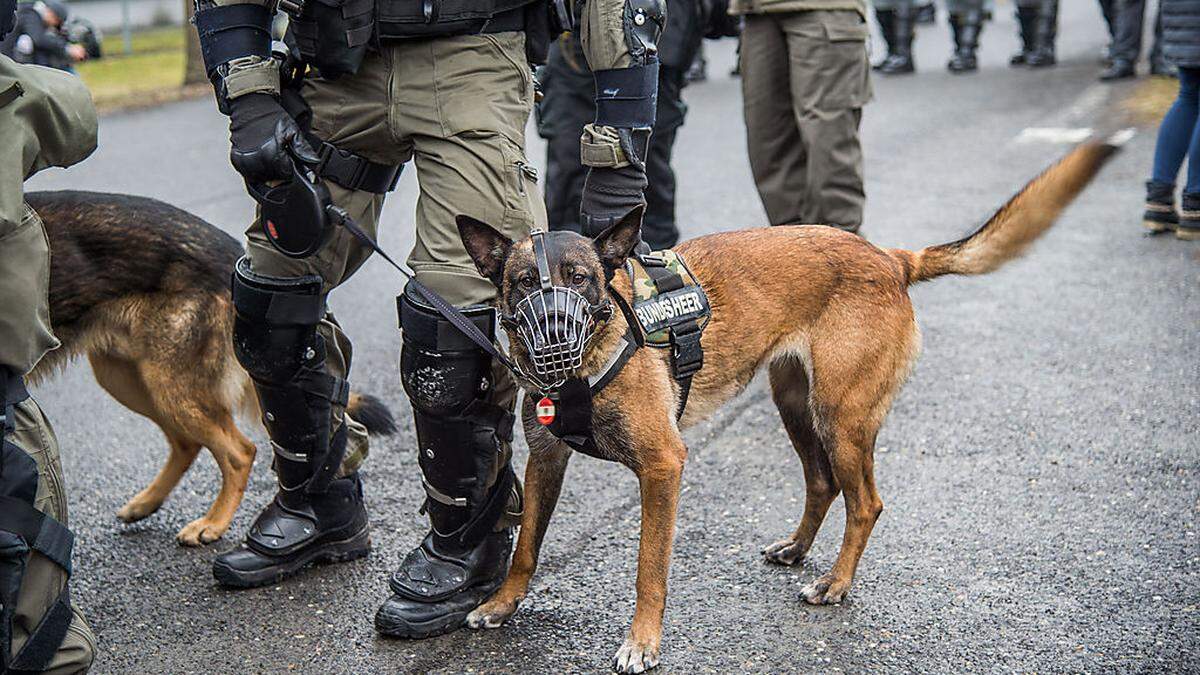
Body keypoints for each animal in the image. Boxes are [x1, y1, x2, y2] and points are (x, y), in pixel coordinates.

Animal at [25, 190, 396, 547]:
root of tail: (236, 257)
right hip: (130, 379)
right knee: (187, 443)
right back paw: (147, 503)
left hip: (167, 383)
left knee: (239, 452)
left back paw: (212, 524)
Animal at [453, 139, 1118, 667]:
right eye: (522, 283)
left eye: (582, 278)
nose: (554, 333)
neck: (584, 364)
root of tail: (890, 258)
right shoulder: (546, 459)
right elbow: (526, 547)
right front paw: (502, 604)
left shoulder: (663, 467)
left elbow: (649, 569)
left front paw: (642, 643)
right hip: (795, 404)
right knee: (823, 484)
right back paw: (798, 549)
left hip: (841, 415)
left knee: (865, 502)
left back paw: (835, 583)